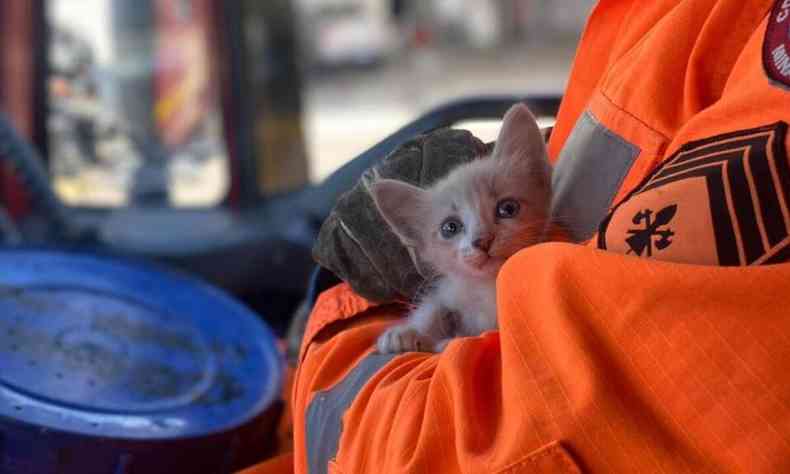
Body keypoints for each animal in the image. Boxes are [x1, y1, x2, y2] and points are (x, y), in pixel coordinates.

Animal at [372, 104, 552, 356]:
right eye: (450, 227)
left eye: (507, 208)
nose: (483, 240)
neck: (487, 287)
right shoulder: (449, 288)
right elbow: (433, 307)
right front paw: (405, 333)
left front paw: (446, 342)